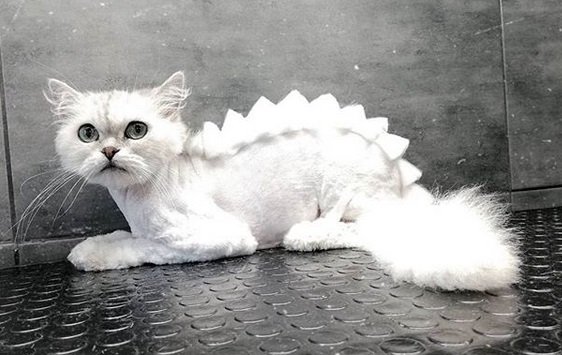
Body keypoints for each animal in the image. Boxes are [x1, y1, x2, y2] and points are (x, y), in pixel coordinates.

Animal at [42, 73, 516, 292]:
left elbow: (146, 248)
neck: (136, 198)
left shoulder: (223, 238)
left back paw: (311, 231)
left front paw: (99, 255)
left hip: (344, 196)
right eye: (88, 134)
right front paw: (97, 245)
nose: (109, 152)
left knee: (353, 229)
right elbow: (124, 235)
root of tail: (403, 183)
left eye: (136, 131)